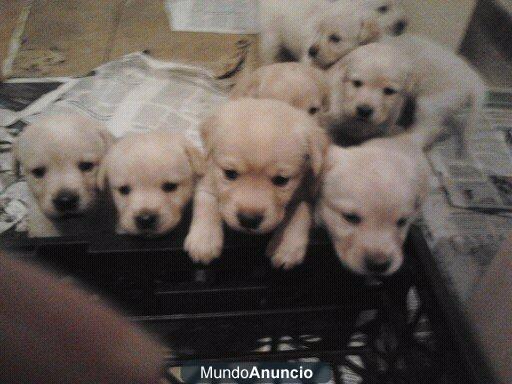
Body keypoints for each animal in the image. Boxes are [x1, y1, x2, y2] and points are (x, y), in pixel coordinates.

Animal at [184, 97, 328, 268]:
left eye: (281, 180)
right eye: (230, 173)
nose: (249, 220)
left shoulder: (307, 190)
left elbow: (301, 211)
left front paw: (286, 246)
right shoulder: (208, 178)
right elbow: (207, 203)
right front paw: (204, 240)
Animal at [326, 36, 486, 148]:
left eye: (389, 91)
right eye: (357, 83)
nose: (364, 111)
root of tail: (473, 79)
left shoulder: (386, 120)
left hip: (431, 105)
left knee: (428, 130)